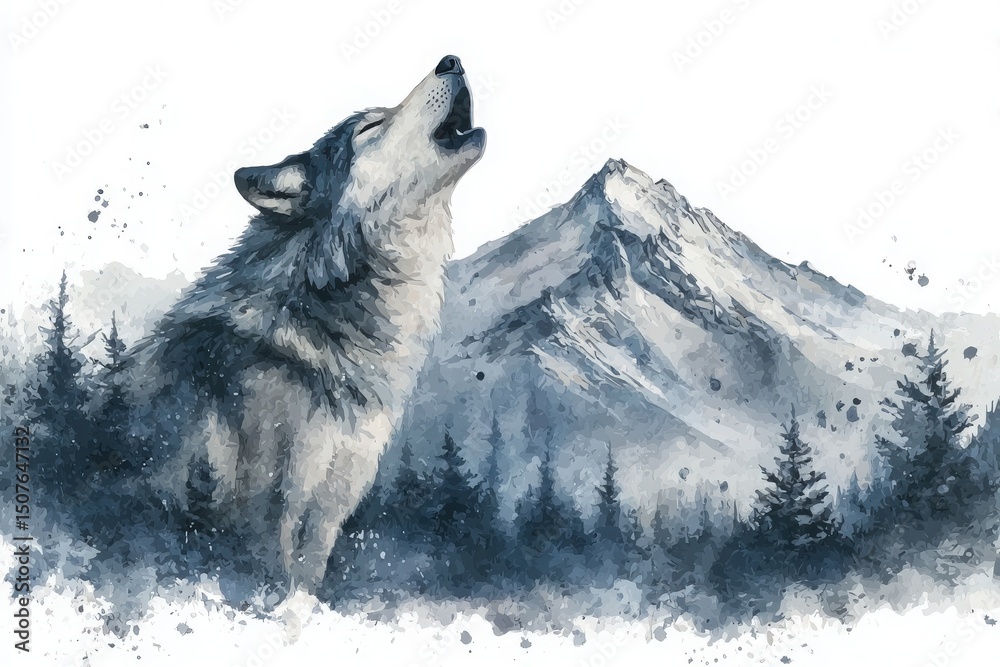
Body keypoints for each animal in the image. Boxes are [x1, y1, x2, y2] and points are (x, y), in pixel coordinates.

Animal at [128, 55, 485, 596]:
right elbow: (271, 575)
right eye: (370, 127)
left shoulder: (329, 507)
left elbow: (307, 578)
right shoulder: (267, 502)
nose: (453, 60)